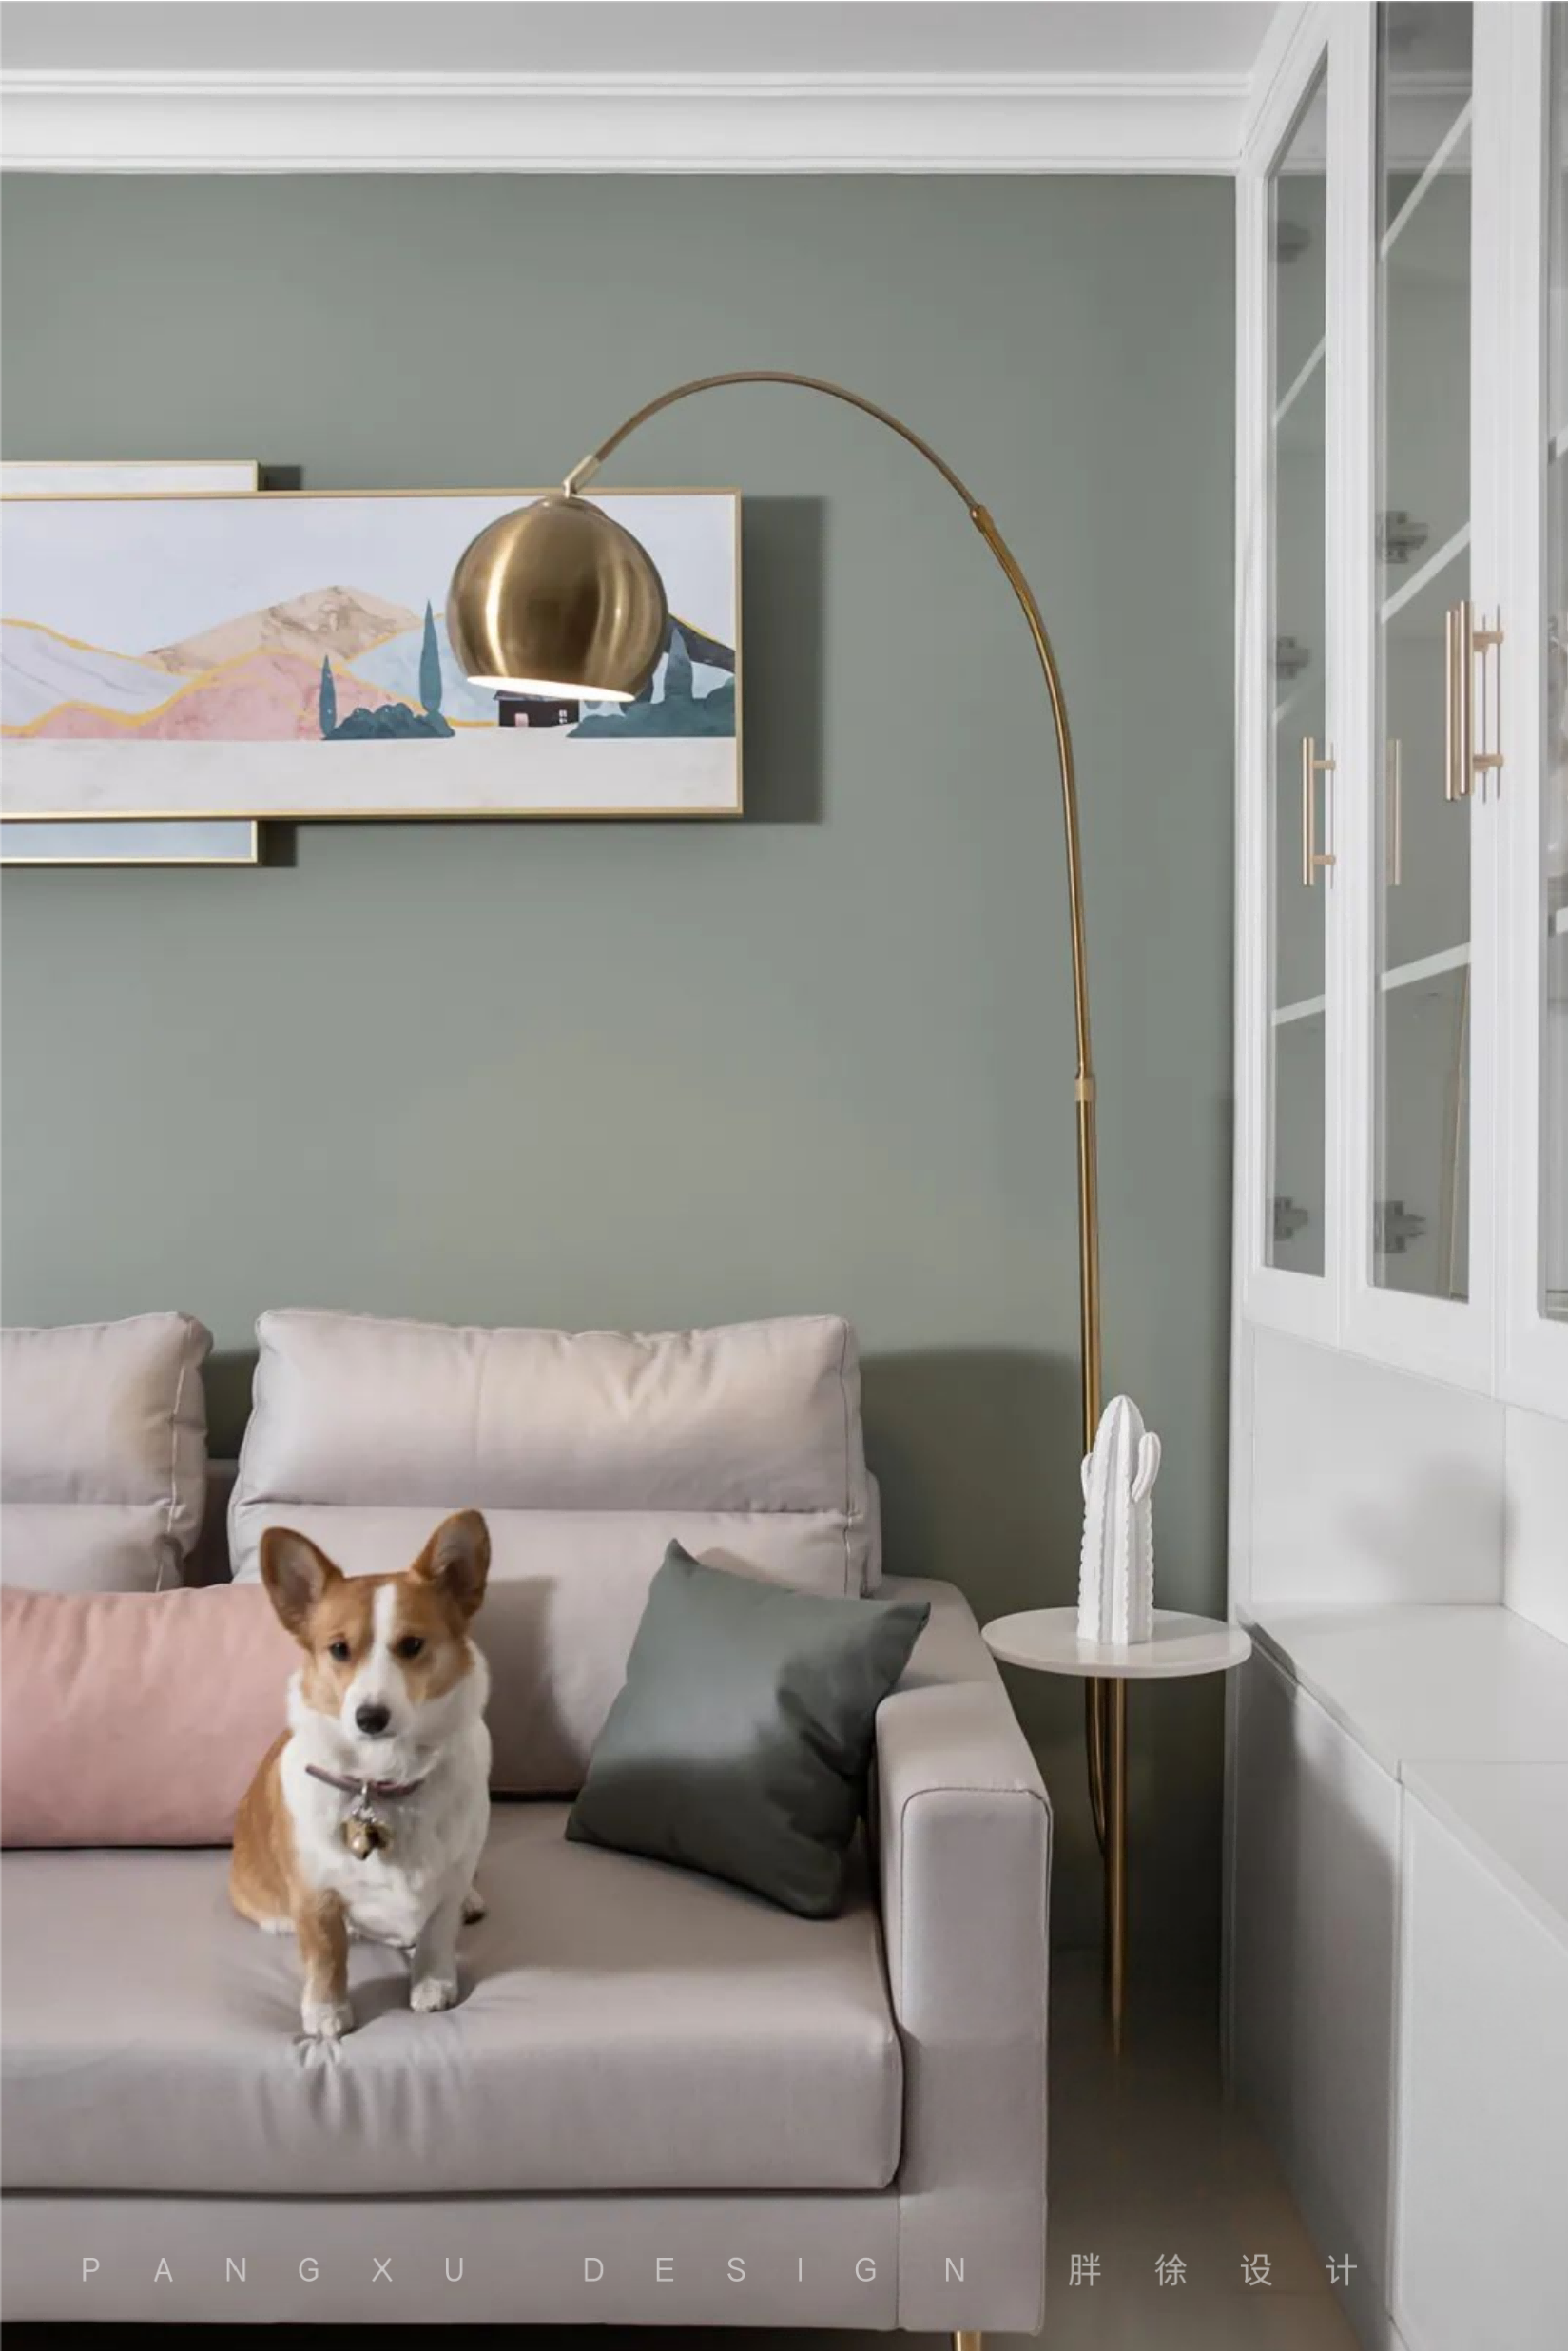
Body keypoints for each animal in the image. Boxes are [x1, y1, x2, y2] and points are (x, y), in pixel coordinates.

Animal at [231, 1509, 492, 2041]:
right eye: (338, 1650)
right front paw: (326, 2014)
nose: (370, 1718)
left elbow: (438, 1934)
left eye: (412, 1645)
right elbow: (327, 1955)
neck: (384, 1778)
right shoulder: (315, 1895)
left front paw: (433, 1984)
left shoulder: (450, 1883)